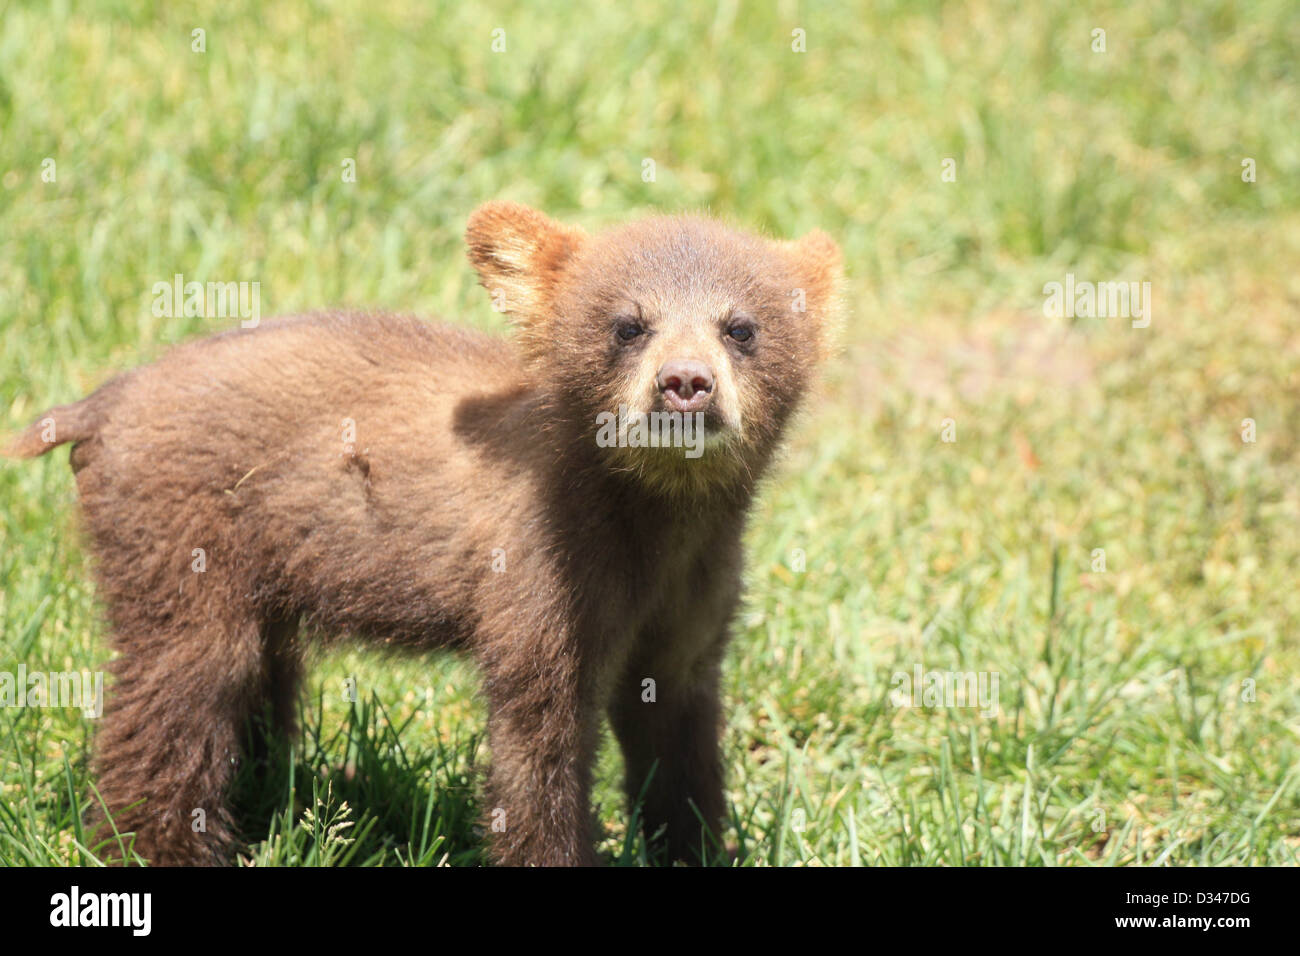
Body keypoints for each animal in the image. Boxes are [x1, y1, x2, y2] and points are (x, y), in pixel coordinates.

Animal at [5, 201, 840, 866]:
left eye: (742, 327)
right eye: (627, 325)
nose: (685, 384)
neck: (658, 532)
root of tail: (101, 403)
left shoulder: (695, 605)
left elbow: (680, 745)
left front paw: (698, 846)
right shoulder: (541, 581)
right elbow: (537, 755)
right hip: (180, 546)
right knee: (178, 696)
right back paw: (159, 845)